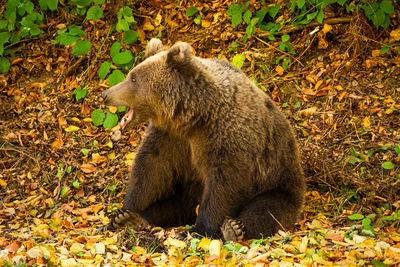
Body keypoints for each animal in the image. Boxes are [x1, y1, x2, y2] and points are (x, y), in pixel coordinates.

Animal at [101, 38, 304, 242]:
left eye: (133, 78)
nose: (105, 95)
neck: (195, 116)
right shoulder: (170, 137)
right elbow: (150, 168)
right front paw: (123, 213)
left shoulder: (227, 136)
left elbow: (225, 185)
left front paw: (196, 230)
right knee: (172, 206)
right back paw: (136, 219)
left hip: (278, 179)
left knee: (267, 209)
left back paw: (235, 227)